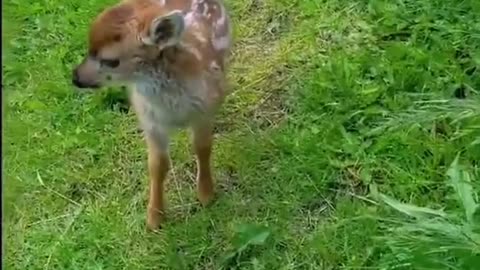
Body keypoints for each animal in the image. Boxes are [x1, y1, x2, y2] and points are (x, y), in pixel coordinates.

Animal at [71, 0, 234, 230]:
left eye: (111, 61)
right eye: (88, 49)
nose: (75, 77)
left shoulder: (203, 109)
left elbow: (203, 148)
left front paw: (206, 195)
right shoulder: (150, 120)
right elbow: (157, 165)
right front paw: (154, 217)